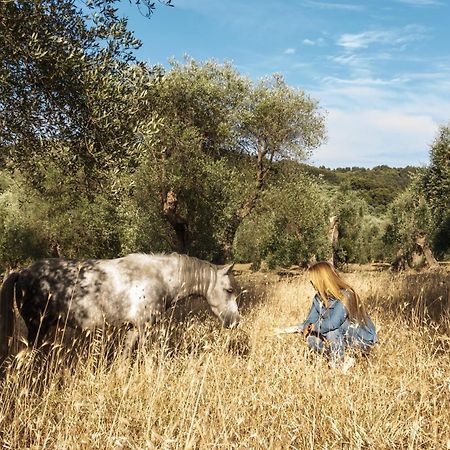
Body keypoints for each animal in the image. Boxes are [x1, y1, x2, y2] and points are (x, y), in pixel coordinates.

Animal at [0, 253, 241, 362]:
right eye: (229, 290)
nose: (235, 321)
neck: (160, 277)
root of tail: (22, 272)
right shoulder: (145, 327)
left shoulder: (132, 328)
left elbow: (125, 356)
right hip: (37, 327)